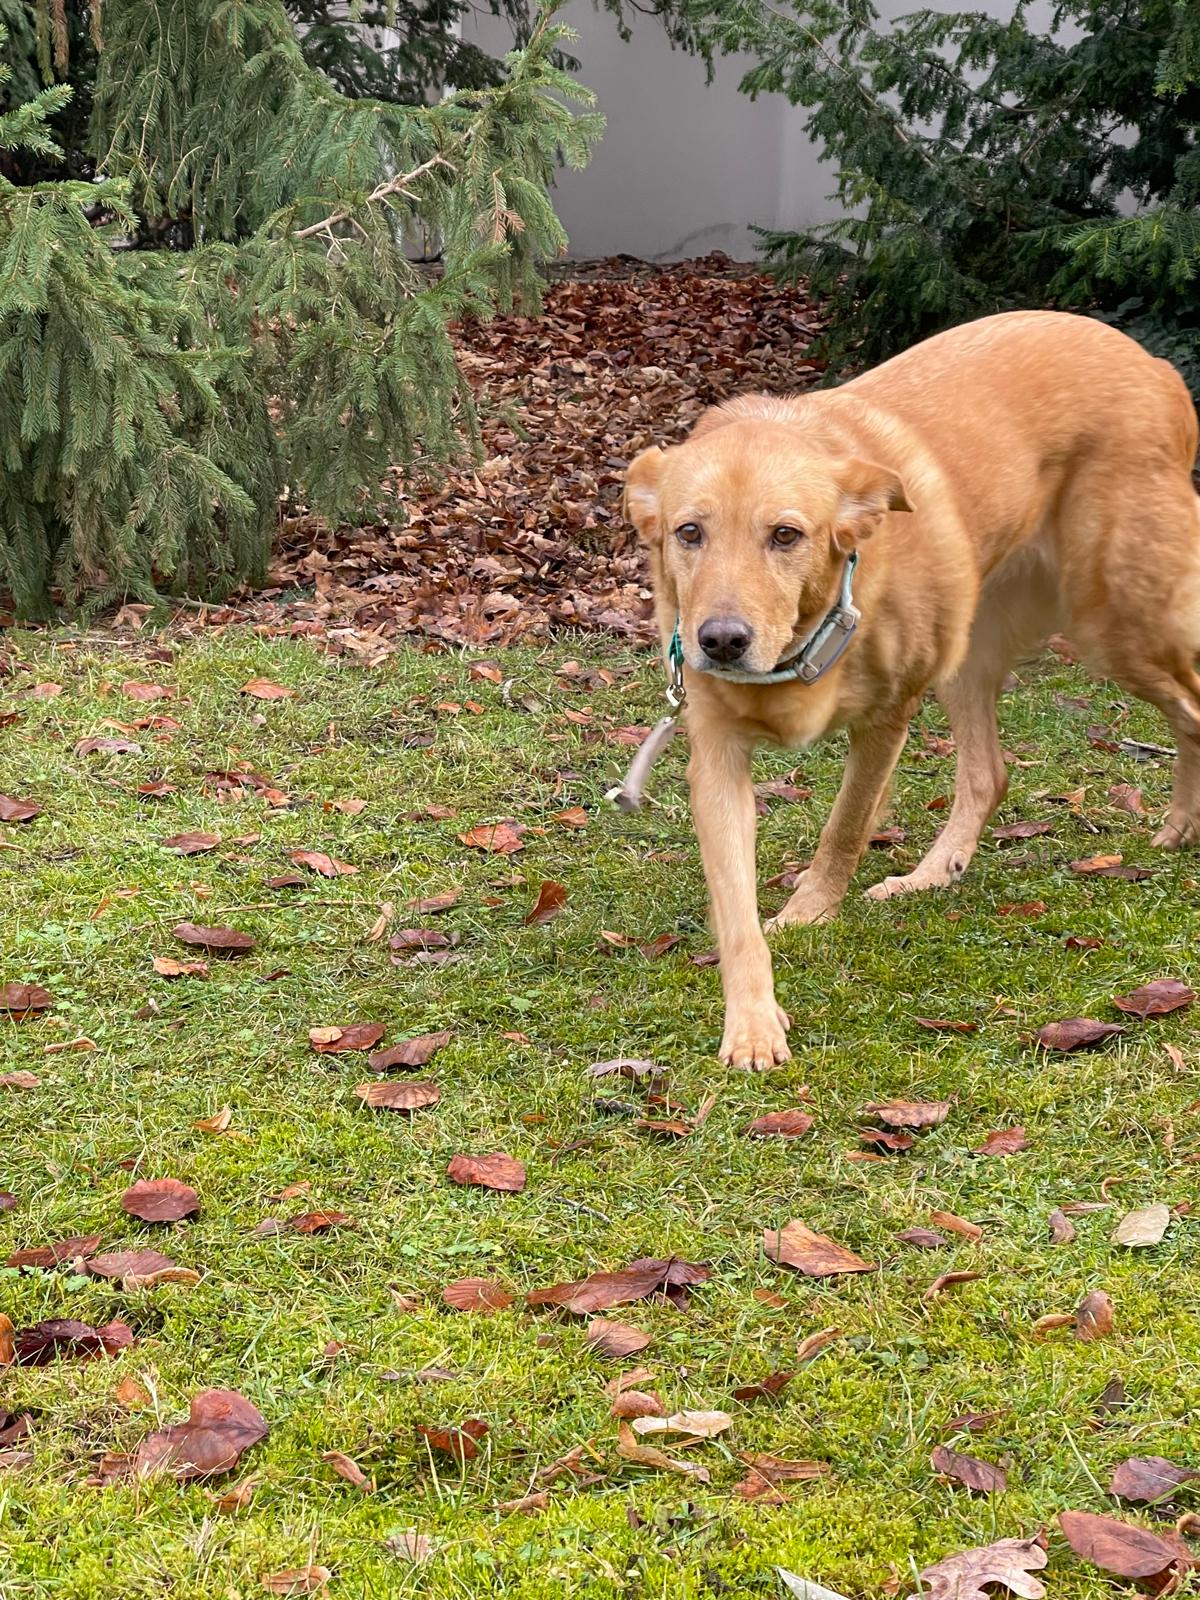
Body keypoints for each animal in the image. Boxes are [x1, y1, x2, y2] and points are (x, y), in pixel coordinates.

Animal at [624, 310, 1200, 1069]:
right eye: (689, 532)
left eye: (786, 535)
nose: (720, 641)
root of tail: (1155, 368)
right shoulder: (717, 756)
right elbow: (737, 911)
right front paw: (751, 1023)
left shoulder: (887, 719)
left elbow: (844, 828)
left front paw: (810, 911)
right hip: (974, 656)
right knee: (990, 775)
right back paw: (930, 875)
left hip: (1118, 626)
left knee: (1189, 712)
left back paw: (1183, 822)